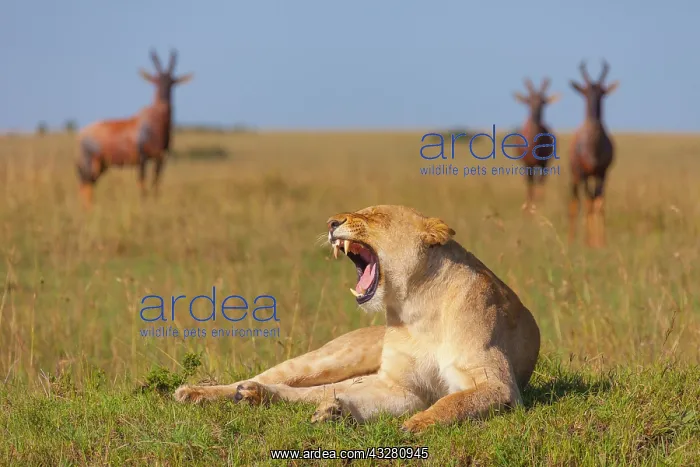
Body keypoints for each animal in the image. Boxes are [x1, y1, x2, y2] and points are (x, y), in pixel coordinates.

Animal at [174, 204, 541, 433]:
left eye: (375, 215)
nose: (330, 223)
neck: (415, 307)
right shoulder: (399, 384)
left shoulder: (495, 384)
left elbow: (456, 401)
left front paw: (416, 423)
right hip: (330, 358)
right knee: (267, 377)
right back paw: (198, 392)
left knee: (314, 391)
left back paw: (271, 398)